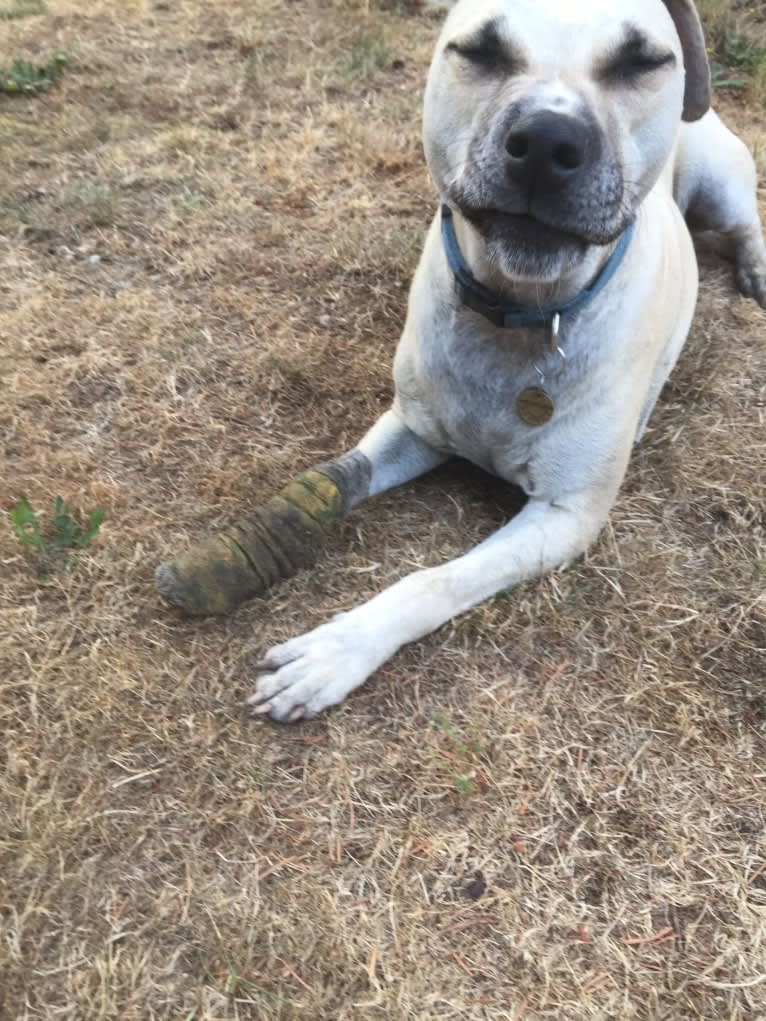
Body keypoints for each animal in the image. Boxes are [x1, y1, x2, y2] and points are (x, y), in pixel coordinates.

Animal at [227, 1, 766, 718]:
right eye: (480, 50)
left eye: (642, 61)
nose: (547, 142)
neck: (520, 312)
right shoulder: (411, 427)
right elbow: (336, 480)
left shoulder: (564, 516)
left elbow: (432, 581)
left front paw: (338, 650)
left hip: (721, 181)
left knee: (746, 224)